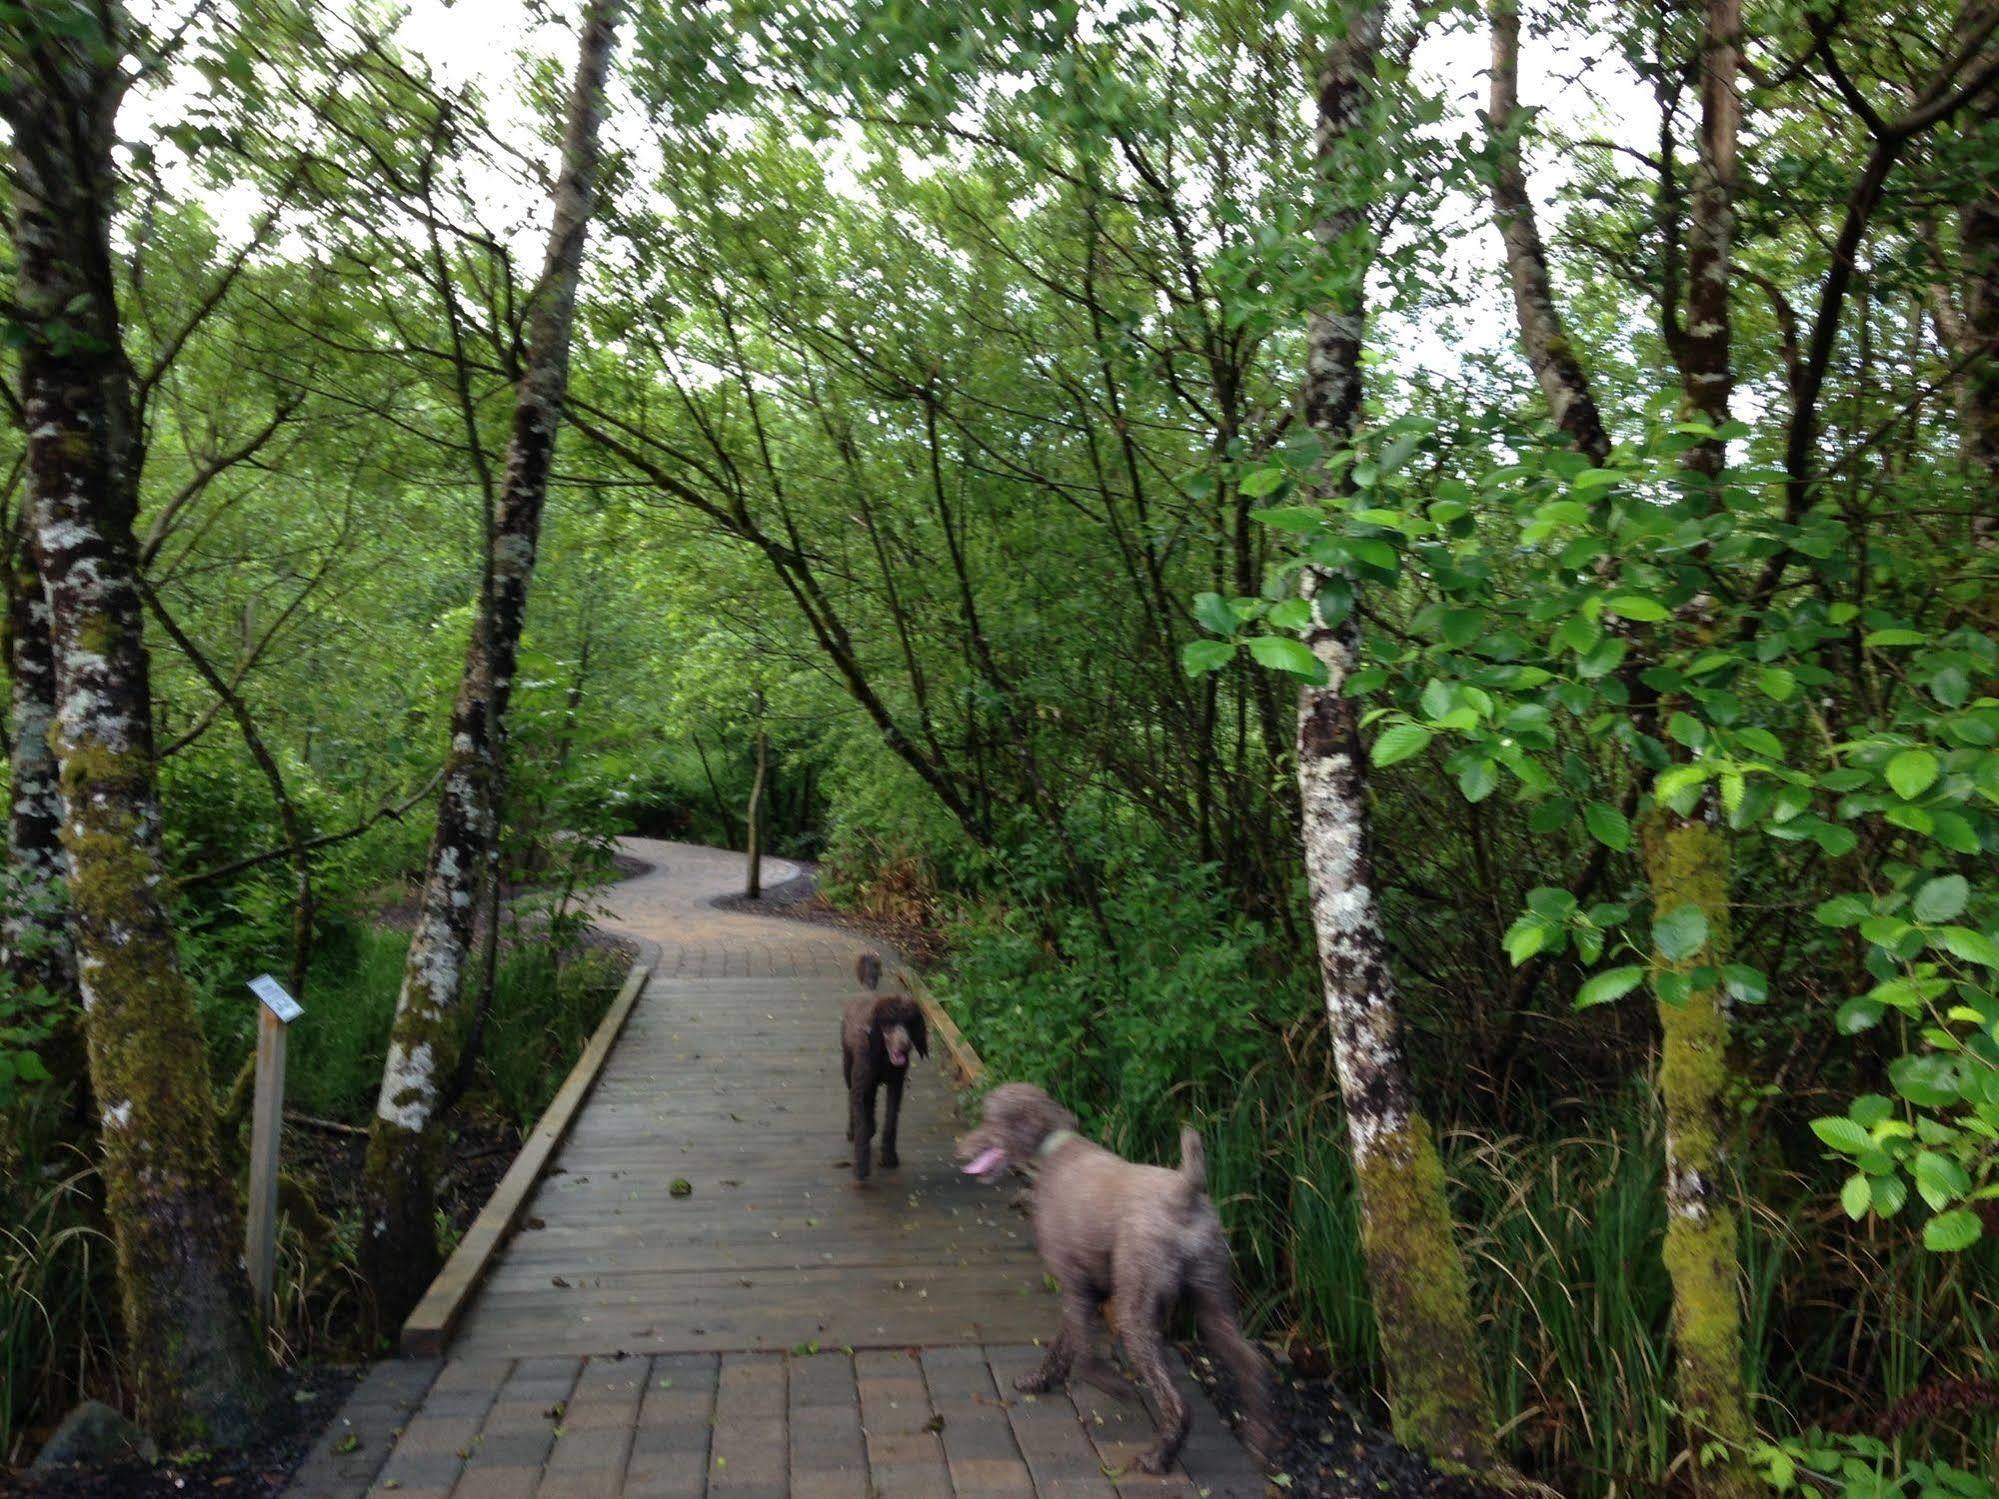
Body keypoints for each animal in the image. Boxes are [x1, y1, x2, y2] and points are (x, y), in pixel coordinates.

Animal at [839, 955, 923, 1183]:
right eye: (888, 1023)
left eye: (910, 1023)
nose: (905, 1046)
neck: (883, 1057)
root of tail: (866, 991)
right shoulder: (861, 1083)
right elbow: (861, 1117)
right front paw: (861, 1166)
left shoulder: (896, 1085)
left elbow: (891, 1120)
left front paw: (889, 1156)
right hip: (848, 1066)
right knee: (852, 1097)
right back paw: (853, 1130)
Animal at [959, 1087, 1271, 1471]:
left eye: (990, 1119)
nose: (961, 1149)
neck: (1053, 1148)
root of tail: (1185, 1190)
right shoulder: (1087, 1288)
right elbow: (1065, 1342)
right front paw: (1041, 1379)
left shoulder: (1076, 1286)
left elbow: (1082, 1349)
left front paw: (1109, 1385)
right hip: (1211, 1300)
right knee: (1251, 1362)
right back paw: (1259, 1441)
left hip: (1135, 1312)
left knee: (1179, 1404)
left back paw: (1158, 1458)